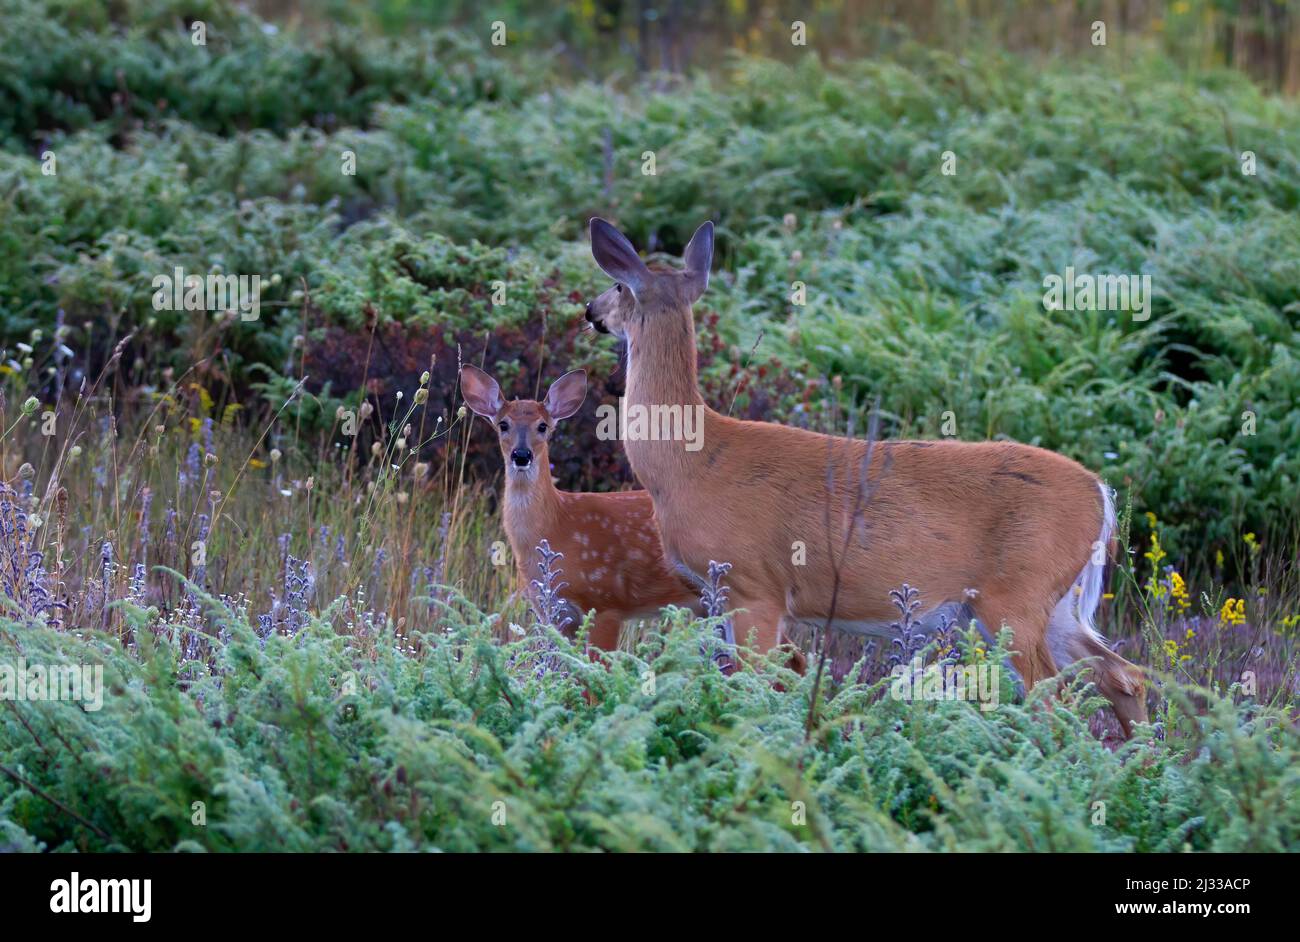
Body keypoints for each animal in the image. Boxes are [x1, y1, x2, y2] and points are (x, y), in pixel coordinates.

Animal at [460, 363, 702, 649]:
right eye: (503, 424)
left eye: (543, 426)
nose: (521, 455)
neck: (556, 524)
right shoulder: (555, 614)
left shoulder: (605, 602)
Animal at [585, 218, 1144, 732]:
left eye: (617, 286)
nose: (590, 312)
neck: (689, 462)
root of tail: (1102, 495)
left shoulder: (754, 586)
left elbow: (754, 683)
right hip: (1058, 604)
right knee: (1123, 675)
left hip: (1017, 593)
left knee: (1055, 699)